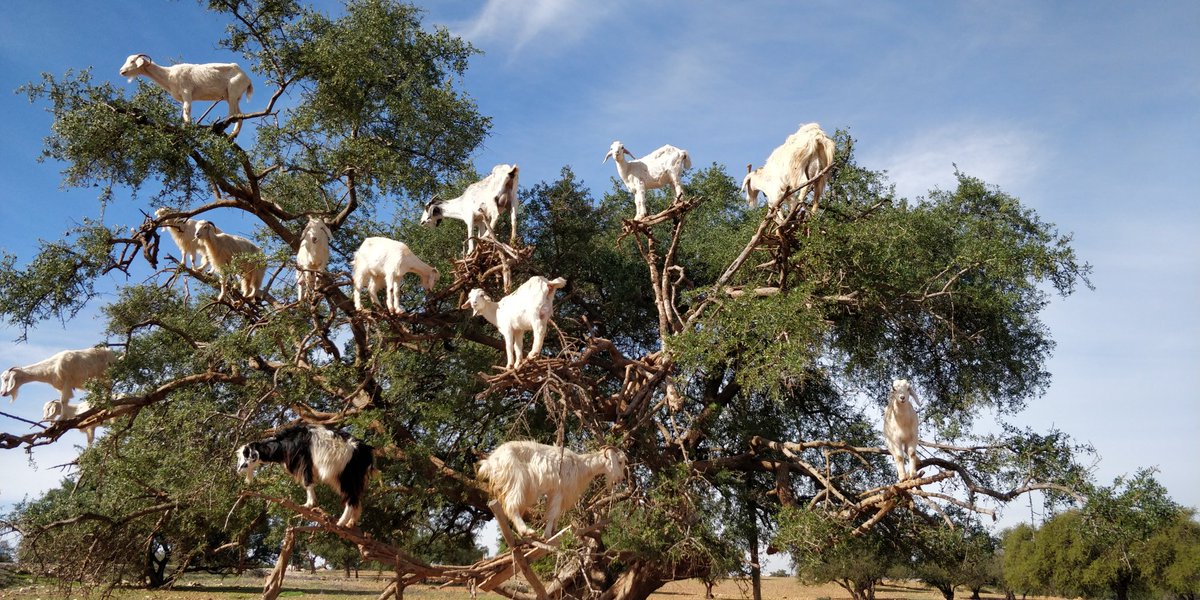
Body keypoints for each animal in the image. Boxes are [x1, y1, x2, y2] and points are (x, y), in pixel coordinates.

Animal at [119, 54, 254, 137]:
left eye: (132, 61)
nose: (121, 71)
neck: (168, 75)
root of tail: (247, 79)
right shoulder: (182, 98)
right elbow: (184, 113)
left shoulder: (187, 92)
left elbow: (187, 111)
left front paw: (188, 127)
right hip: (233, 97)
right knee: (240, 115)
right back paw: (233, 135)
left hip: (233, 92)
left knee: (232, 114)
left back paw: (223, 126)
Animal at [236, 424, 374, 527]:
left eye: (247, 455)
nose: (239, 469)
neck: (286, 443)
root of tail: (365, 452)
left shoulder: (305, 462)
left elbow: (307, 482)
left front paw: (309, 504)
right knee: (355, 497)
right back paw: (351, 522)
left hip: (347, 476)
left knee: (351, 497)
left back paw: (341, 522)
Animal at [477, 441, 626, 538]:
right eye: (619, 462)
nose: (621, 479)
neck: (580, 465)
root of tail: (489, 462)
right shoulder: (558, 491)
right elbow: (553, 513)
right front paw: (547, 534)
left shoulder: (558, 493)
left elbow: (556, 514)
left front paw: (554, 531)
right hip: (517, 482)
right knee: (512, 506)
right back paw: (527, 531)